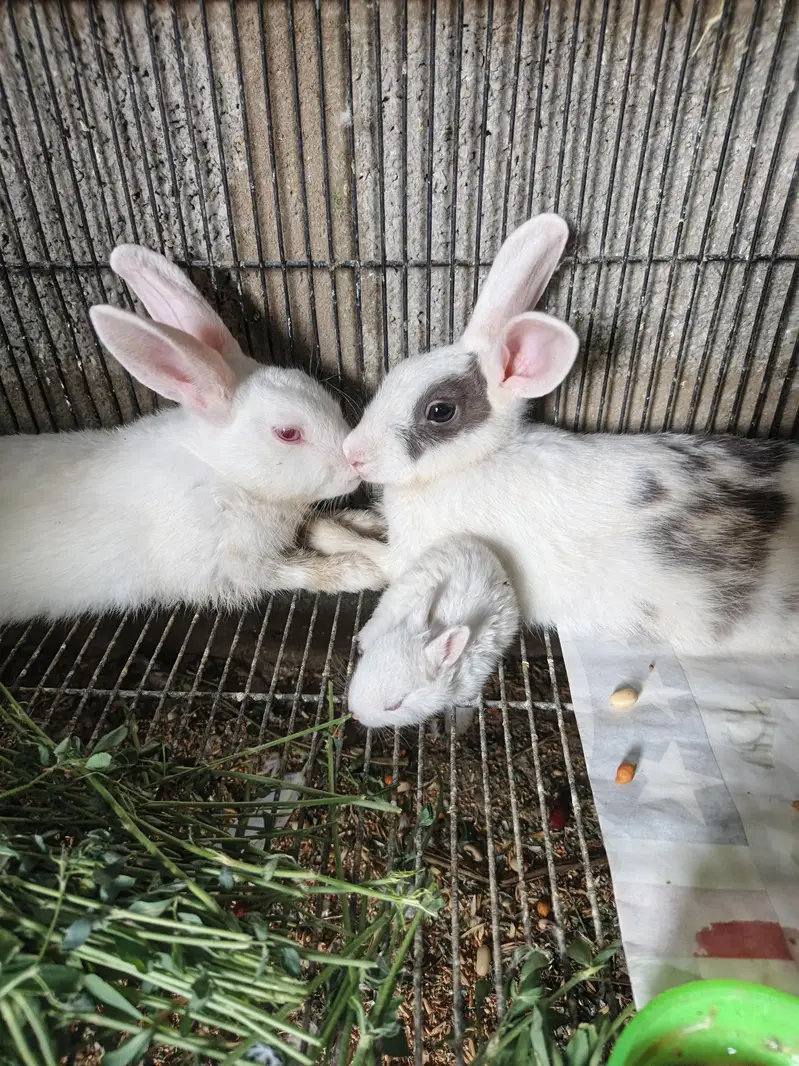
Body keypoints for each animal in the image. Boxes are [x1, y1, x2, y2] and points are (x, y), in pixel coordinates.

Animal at [0, 244, 385, 624]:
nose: (356, 468)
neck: (223, 473)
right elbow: (295, 570)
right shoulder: (237, 567)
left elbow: (325, 527)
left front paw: (366, 522)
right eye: (288, 433)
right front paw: (360, 569)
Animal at [308, 213, 799, 654]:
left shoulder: (411, 557)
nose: (353, 453)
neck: (475, 462)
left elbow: (374, 556)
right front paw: (350, 518)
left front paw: (324, 532)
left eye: (440, 411)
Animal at [347, 535, 520, 733]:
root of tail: (476, 544)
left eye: (395, 706)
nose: (354, 713)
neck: (438, 628)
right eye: (367, 659)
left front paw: (458, 728)